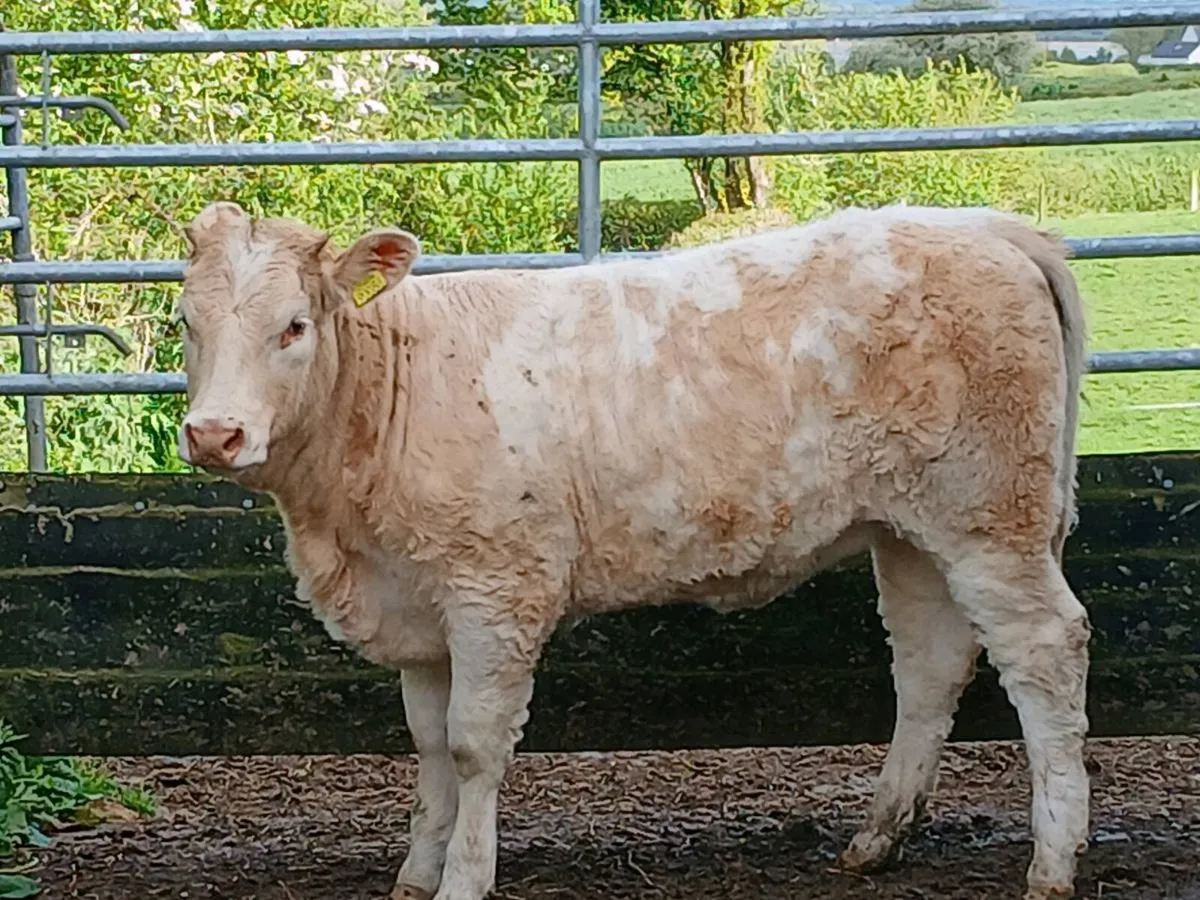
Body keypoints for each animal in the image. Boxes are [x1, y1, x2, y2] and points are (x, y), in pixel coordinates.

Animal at [175, 199, 1090, 900]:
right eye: (186, 322)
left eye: (294, 326)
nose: (215, 433)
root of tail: (986, 226)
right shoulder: (419, 609)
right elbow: (430, 744)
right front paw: (415, 872)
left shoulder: (495, 590)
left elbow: (472, 744)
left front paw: (464, 879)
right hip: (910, 531)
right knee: (930, 665)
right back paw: (876, 840)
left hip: (990, 517)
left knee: (1046, 650)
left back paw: (1053, 861)